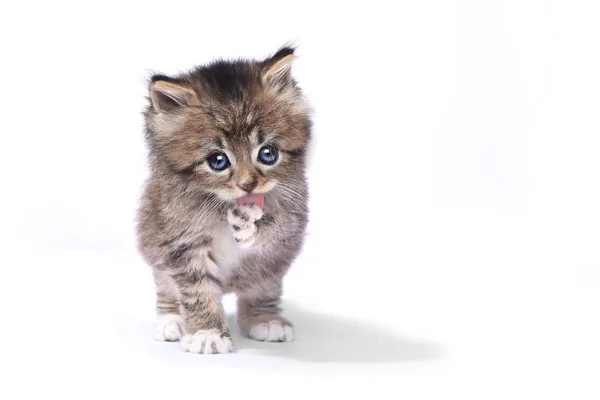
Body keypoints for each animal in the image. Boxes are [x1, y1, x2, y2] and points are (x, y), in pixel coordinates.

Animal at [136, 45, 312, 354]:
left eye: (268, 154)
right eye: (217, 161)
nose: (247, 184)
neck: (221, 204)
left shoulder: (293, 219)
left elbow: (275, 227)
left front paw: (249, 226)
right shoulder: (179, 243)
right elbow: (197, 292)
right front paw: (207, 333)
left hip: (271, 268)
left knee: (262, 289)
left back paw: (265, 320)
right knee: (166, 286)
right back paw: (170, 320)